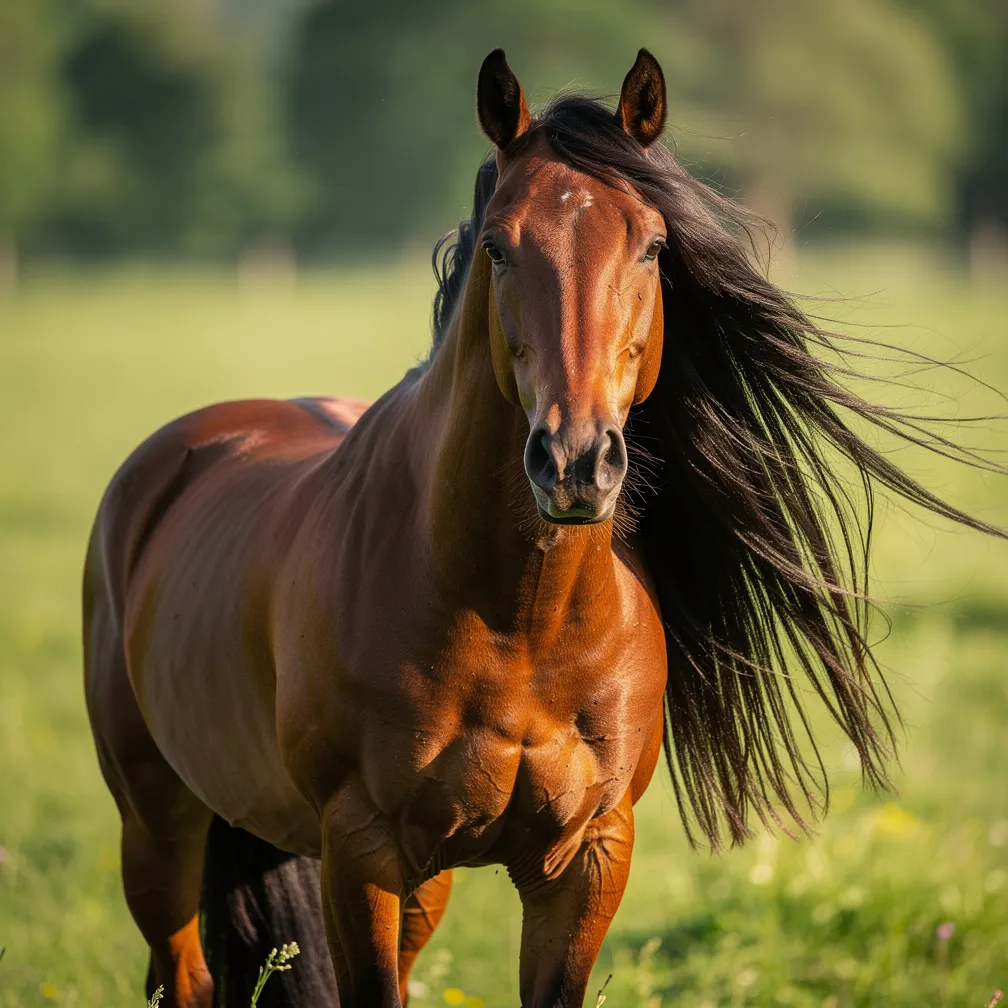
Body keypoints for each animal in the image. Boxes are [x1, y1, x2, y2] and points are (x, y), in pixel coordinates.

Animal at [83, 48, 1004, 1007]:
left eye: (654, 245)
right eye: (498, 246)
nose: (574, 461)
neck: (516, 617)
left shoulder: (586, 857)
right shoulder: (362, 851)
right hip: (157, 823)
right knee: (179, 970)